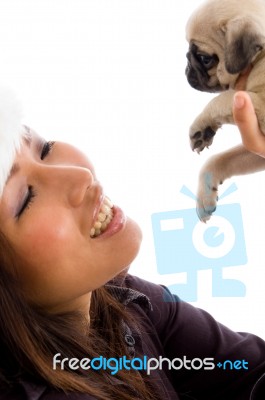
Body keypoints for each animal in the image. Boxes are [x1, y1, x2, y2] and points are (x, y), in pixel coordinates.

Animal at [185, 0, 265, 220]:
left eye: (205, 59)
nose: (187, 69)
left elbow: (224, 99)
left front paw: (201, 126)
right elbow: (220, 159)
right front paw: (205, 195)